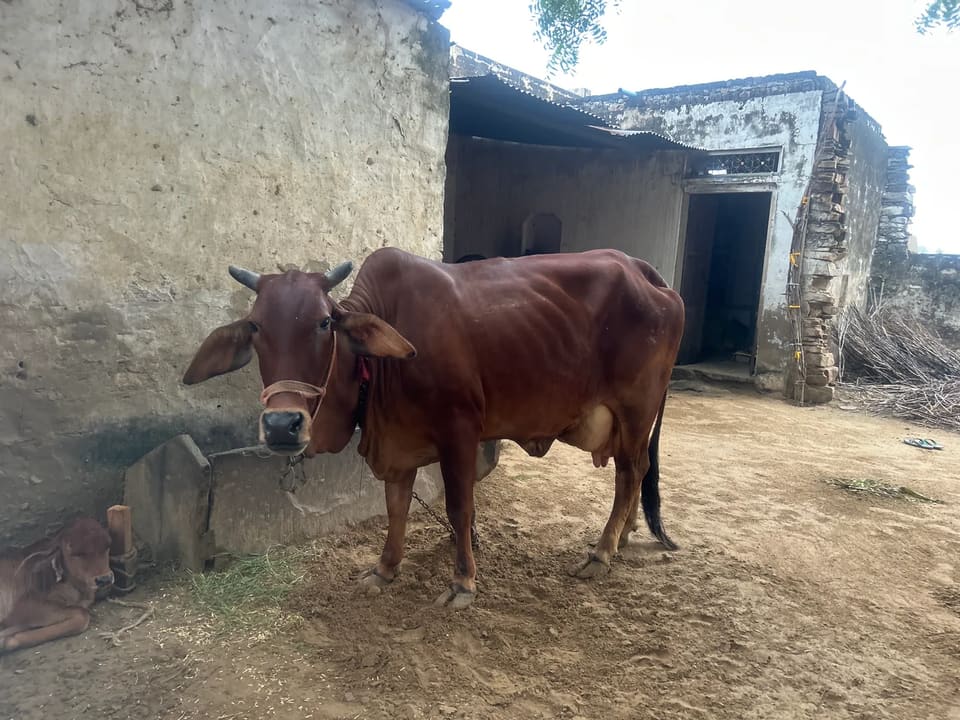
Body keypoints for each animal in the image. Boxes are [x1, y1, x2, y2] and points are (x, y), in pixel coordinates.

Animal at [0, 517, 114, 653]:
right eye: (76, 553)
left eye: (107, 546)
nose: (105, 579)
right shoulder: (23, 607)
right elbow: (82, 615)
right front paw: (6, 642)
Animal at [182, 247, 684, 609]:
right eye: (255, 326)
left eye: (325, 322)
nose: (282, 425)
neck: (381, 367)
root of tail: (643, 271)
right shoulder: (397, 446)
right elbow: (396, 507)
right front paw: (384, 569)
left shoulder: (459, 430)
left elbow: (460, 508)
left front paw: (463, 582)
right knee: (635, 472)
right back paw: (623, 536)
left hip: (635, 409)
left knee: (630, 473)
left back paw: (602, 551)